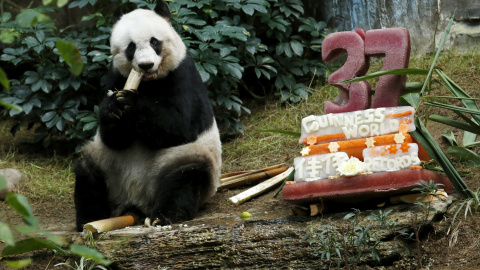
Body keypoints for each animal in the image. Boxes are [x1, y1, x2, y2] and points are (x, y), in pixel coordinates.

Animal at [73, 0, 223, 232]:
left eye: (154, 42)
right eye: (131, 47)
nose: (145, 65)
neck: (148, 82)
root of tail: (136, 202)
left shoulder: (183, 74)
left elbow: (180, 126)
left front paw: (130, 103)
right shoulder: (116, 75)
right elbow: (113, 139)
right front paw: (113, 107)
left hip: (181, 158)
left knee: (186, 178)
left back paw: (163, 216)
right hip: (106, 164)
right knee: (87, 174)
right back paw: (90, 220)